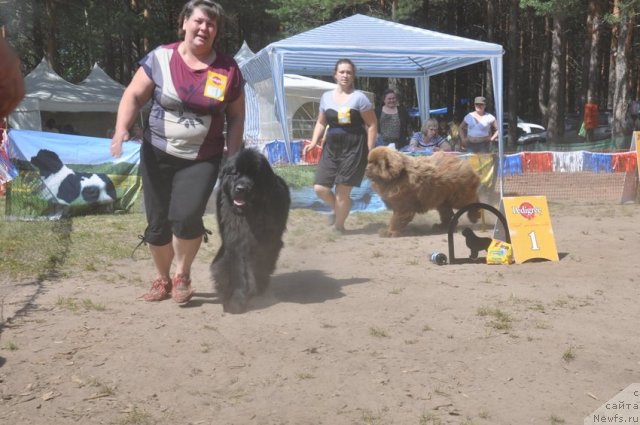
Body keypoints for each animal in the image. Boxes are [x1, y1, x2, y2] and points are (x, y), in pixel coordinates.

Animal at [210, 147, 290, 314]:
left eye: (254, 175)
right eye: (235, 173)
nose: (241, 188)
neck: (249, 214)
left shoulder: (269, 243)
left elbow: (261, 266)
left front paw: (256, 288)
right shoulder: (236, 243)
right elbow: (240, 272)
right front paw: (236, 301)